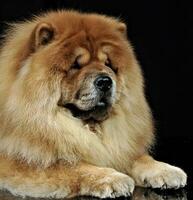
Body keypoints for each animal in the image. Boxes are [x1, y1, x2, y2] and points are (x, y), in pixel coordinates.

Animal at [0, 10, 187, 198]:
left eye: (108, 64)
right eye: (75, 65)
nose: (105, 81)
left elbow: (137, 157)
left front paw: (165, 170)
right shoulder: (19, 159)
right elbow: (70, 165)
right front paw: (113, 178)